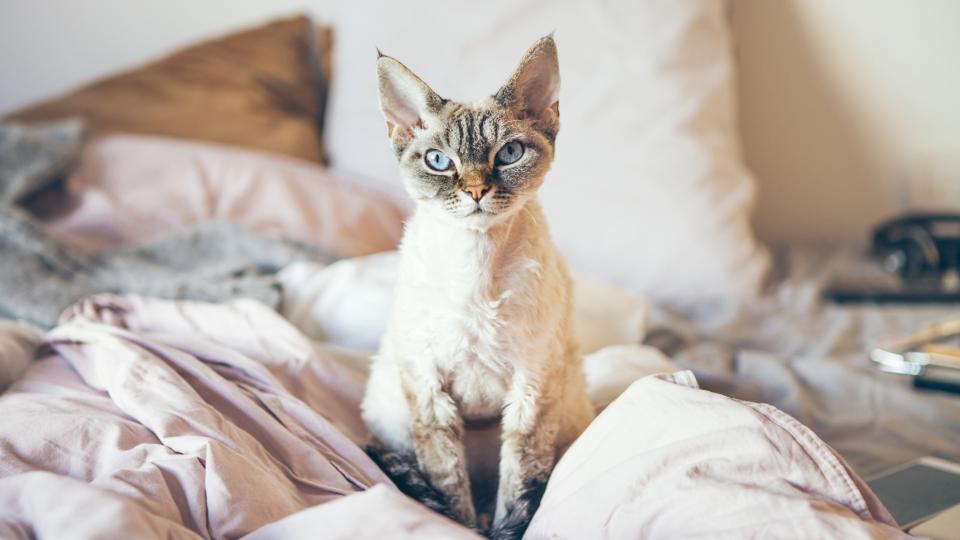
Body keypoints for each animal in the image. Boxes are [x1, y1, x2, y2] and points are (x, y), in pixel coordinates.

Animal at [360, 35, 592, 536]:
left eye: (509, 154)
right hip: (391, 409)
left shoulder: (532, 388)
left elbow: (520, 485)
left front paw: (504, 528)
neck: (476, 264)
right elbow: (449, 485)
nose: (475, 191)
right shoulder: (428, 387)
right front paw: (460, 527)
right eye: (438, 162)